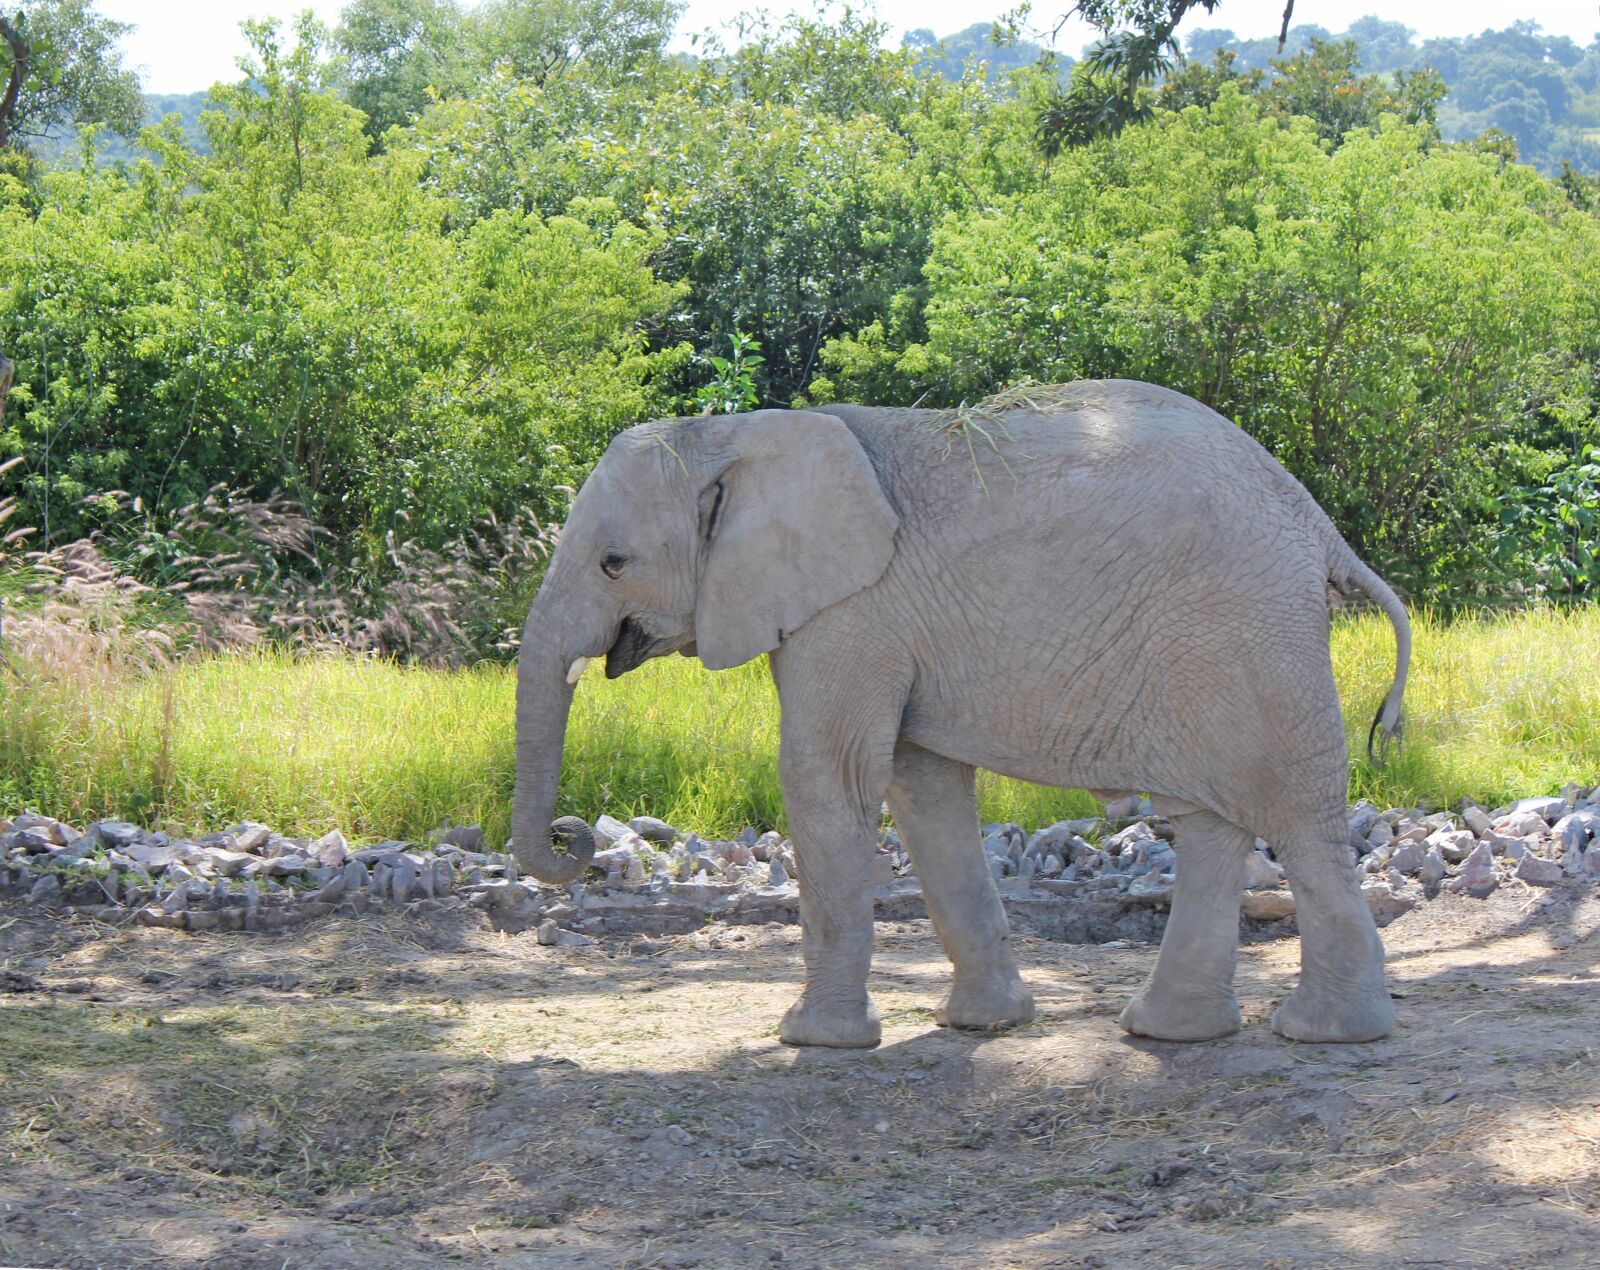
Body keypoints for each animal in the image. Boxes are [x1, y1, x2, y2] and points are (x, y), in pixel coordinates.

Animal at [511, 380, 1411, 1049]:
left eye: (613, 562)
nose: (571, 835)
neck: (732, 432)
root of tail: (1319, 526)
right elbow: (922, 790)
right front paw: (982, 1025)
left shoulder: (853, 612)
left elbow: (828, 777)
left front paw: (812, 1039)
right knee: (1207, 822)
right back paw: (1169, 1032)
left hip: (1251, 635)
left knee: (1298, 818)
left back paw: (1327, 1033)